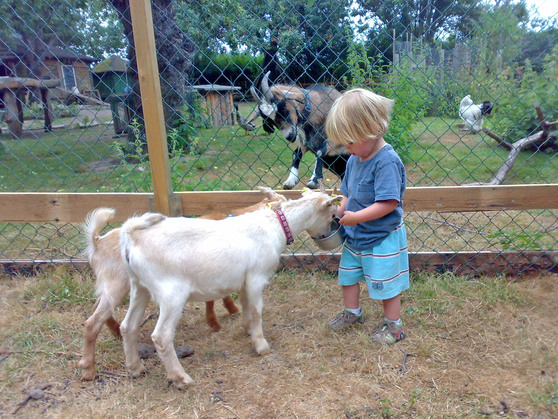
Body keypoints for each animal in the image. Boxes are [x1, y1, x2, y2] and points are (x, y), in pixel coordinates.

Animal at [77, 187, 288, 380]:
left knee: (103, 313)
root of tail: (97, 242)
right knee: (94, 321)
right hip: (121, 283)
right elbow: (216, 297)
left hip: (127, 287)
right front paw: (218, 320)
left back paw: (118, 344)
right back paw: (89, 369)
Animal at [118, 189, 342, 388]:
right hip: (171, 294)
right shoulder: (256, 276)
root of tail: (133, 240)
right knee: (161, 336)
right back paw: (181, 379)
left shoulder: (244, 278)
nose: (325, 234)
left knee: (127, 326)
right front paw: (261, 346)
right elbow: (257, 310)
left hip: (139, 287)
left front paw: (247, 328)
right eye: (332, 214)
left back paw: (136, 368)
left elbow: (245, 303)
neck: (275, 225)